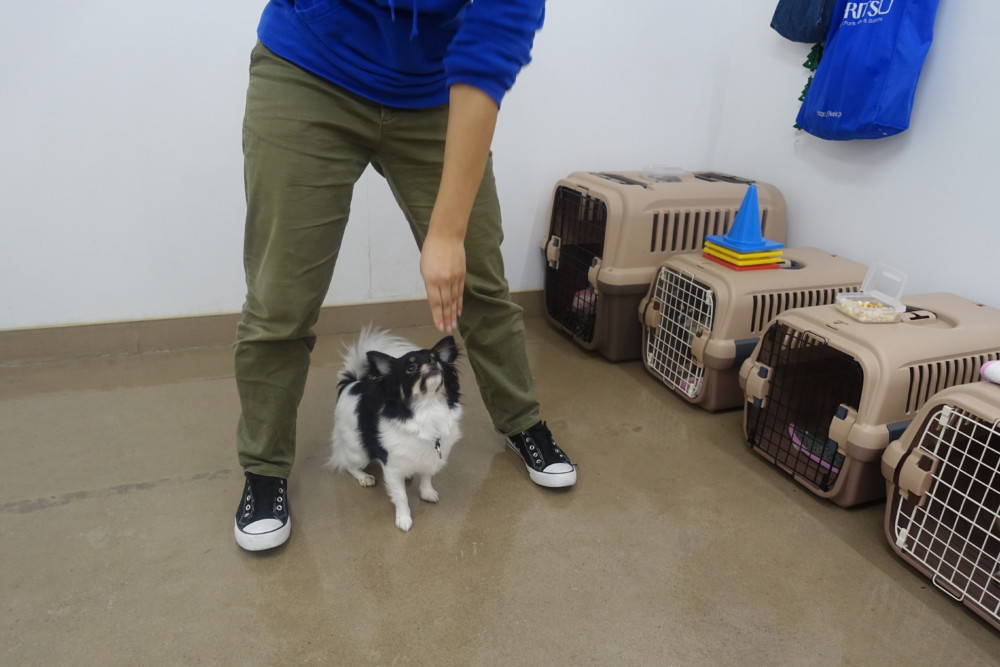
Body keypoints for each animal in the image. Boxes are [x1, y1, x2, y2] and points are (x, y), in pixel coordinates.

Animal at [328, 327, 462, 531]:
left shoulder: (431, 456)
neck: (427, 410)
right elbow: (401, 496)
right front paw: (404, 518)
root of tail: (352, 383)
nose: (432, 362)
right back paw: (364, 477)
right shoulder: (391, 467)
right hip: (358, 451)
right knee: (346, 464)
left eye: (437, 359)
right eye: (410, 369)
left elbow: (427, 476)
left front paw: (427, 492)